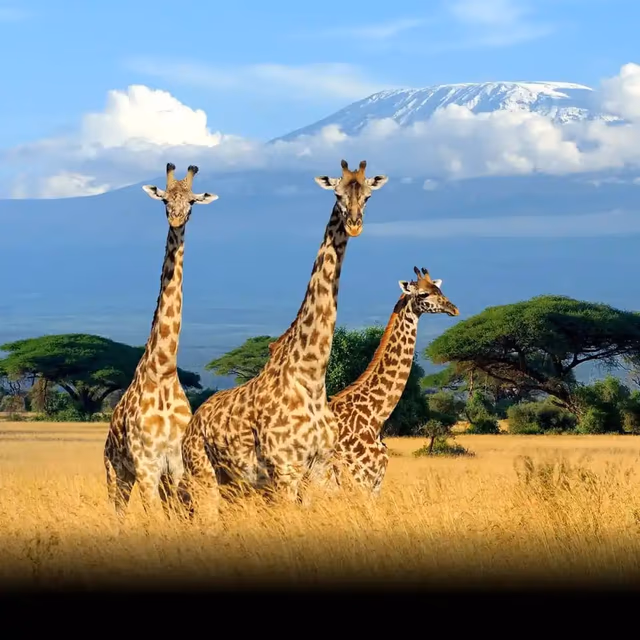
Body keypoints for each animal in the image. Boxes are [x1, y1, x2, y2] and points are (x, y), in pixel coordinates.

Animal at [103, 162, 219, 518]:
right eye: (165, 199)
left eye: (192, 202)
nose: (177, 219)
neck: (164, 370)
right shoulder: (146, 465)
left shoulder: (176, 464)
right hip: (116, 473)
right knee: (117, 513)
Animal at [178, 159, 389, 518]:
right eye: (337, 193)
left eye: (369, 196)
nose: (354, 224)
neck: (312, 377)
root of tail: (193, 423)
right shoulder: (285, 470)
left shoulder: (317, 470)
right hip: (202, 474)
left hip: (234, 483)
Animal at [327, 266, 459, 496]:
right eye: (423, 294)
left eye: (440, 290)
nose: (454, 309)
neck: (374, 417)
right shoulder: (361, 479)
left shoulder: (374, 483)